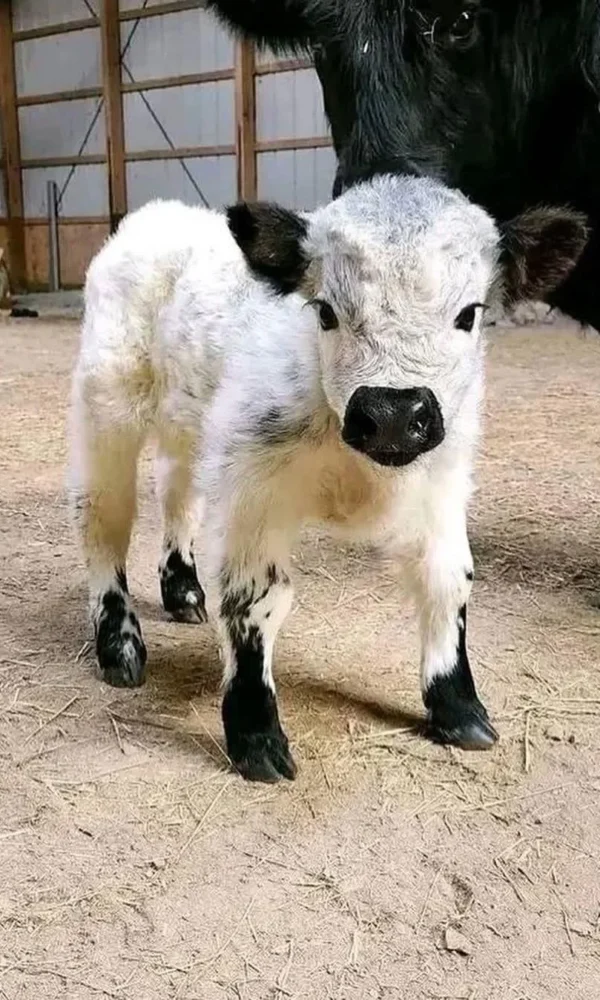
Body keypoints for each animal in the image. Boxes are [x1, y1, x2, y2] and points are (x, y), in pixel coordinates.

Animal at [68, 175, 586, 781]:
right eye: (325, 313)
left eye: (469, 314)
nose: (391, 413)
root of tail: (158, 213)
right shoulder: (251, 484)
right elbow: (255, 599)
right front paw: (256, 735)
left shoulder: (443, 479)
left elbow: (448, 579)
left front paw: (458, 708)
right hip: (108, 399)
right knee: (104, 518)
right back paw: (119, 646)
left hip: (190, 425)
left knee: (177, 490)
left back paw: (182, 590)